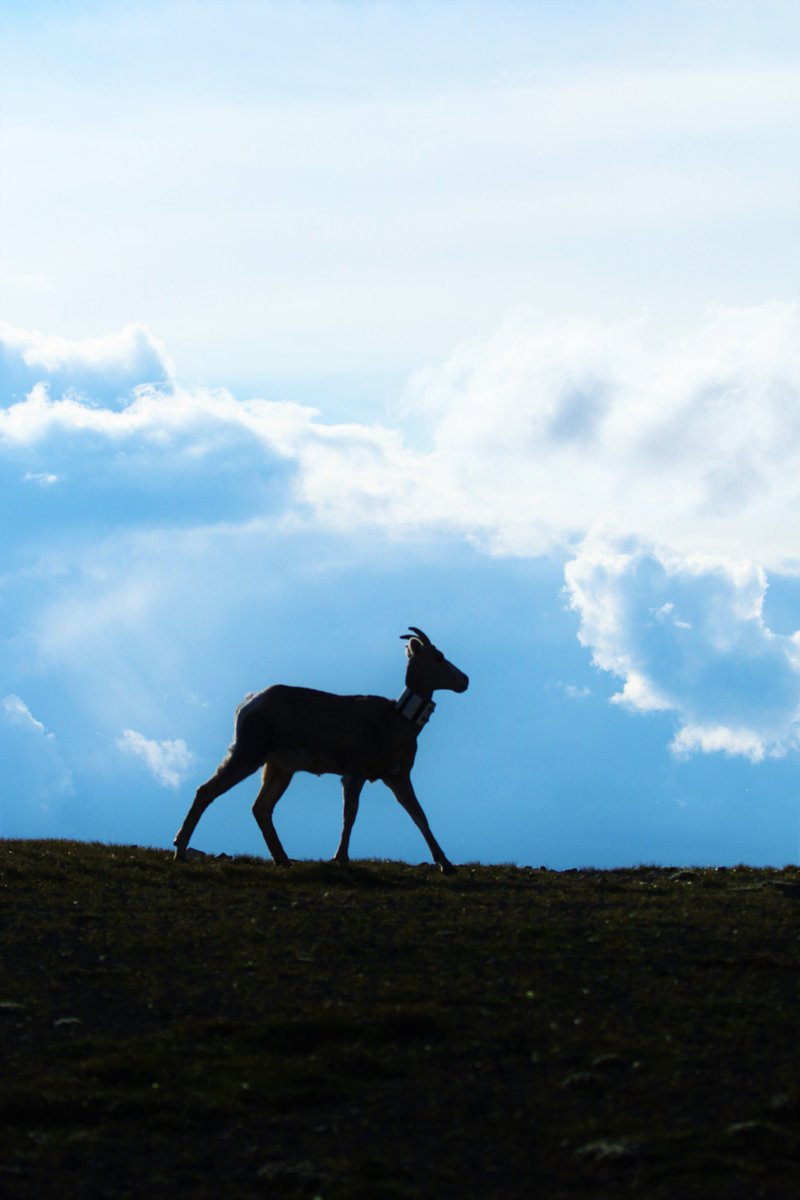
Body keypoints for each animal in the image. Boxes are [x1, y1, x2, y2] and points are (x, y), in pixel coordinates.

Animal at [172, 628, 465, 873]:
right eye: (439, 657)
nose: (465, 680)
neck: (396, 723)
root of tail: (246, 703)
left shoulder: (397, 776)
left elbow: (420, 816)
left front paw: (446, 864)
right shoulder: (355, 772)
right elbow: (350, 815)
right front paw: (341, 858)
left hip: (279, 767)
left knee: (261, 807)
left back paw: (283, 859)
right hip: (248, 753)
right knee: (207, 791)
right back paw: (180, 850)